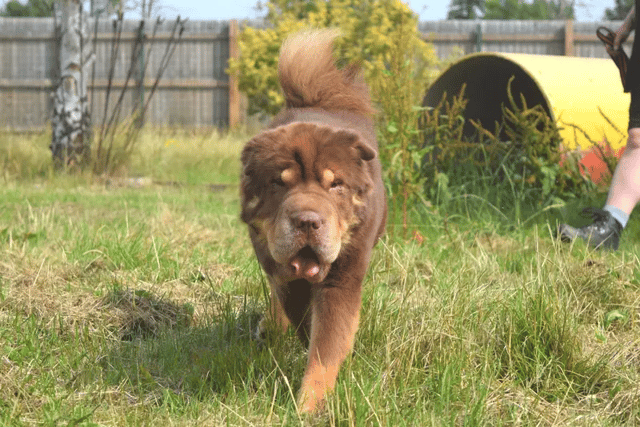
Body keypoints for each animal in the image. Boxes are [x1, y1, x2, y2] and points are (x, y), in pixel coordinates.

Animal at [240, 30, 388, 414]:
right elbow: (298, 311)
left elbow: (325, 345)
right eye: (279, 183)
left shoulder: (343, 278)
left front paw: (311, 406)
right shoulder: (280, 269)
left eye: (334, 184)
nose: (308, 220)